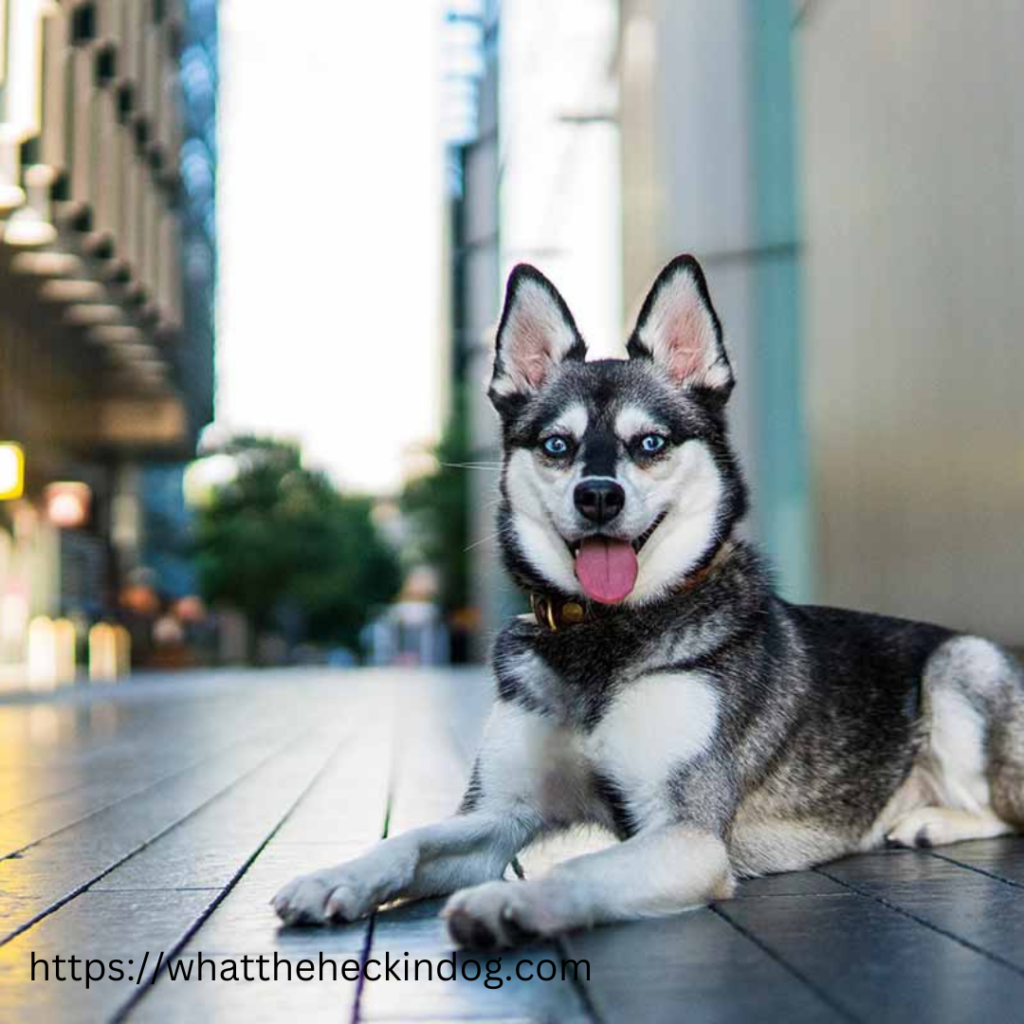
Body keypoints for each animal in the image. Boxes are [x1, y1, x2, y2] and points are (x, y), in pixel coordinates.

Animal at [272, 251, 1024, 946]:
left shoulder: (686, 835)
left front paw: (508, 902)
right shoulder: (495, 816)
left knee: (999, 809)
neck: (603, 636)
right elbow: (412, 840)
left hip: (962, 662)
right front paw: (335, 877)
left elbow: (579, 869)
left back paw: (927, 818)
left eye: (651, 443)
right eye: (557, 445)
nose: (599, 496)